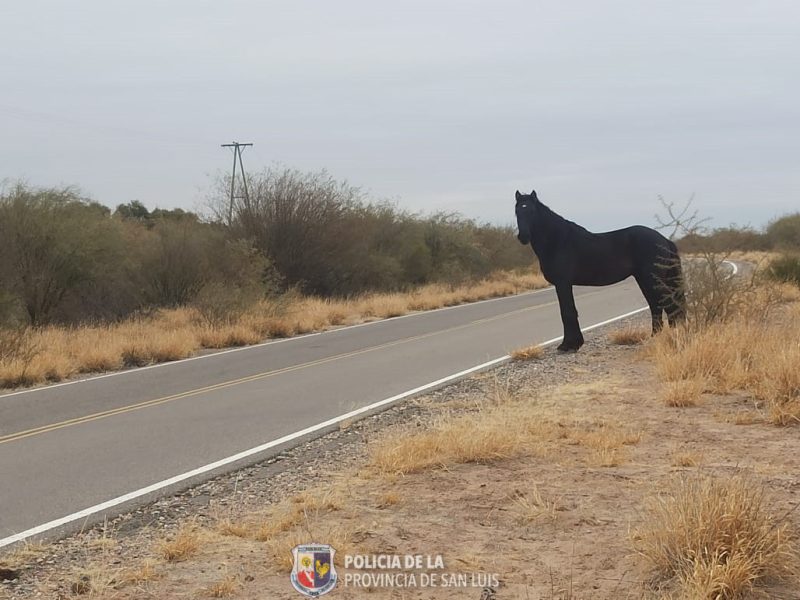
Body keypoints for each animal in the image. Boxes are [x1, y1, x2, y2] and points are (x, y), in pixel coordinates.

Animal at [514, 189, 686, 352]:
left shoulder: (563, 283)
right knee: (657, 305)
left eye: (531, 211)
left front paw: (568, 345)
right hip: (645, 279)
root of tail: (665, 240)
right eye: (517, 211)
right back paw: (656, 337)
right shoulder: (563, 284)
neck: (558, 241)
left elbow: (567, 312)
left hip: (651, 279)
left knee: (669, 305)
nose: (523, 237)